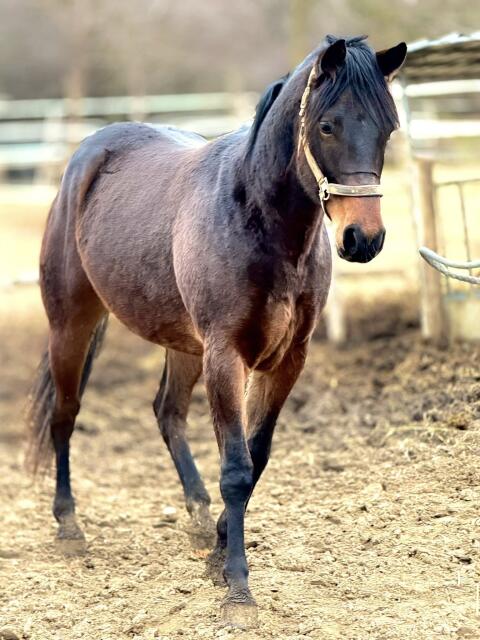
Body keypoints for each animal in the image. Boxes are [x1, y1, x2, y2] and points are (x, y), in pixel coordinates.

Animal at [27, 35, 406, 627]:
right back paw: (69, 526)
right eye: (327, 126)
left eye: (388, 127)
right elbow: (235, 468)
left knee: (167, 414)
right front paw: (238, 589)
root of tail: (89, 155)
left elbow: (256, 460)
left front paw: (217, 557)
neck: (260, 222)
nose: (362, 238)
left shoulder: (285, 361)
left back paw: (200, 518)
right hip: (72, 323)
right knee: (65, 415)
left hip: (183, 344)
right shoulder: (227, 357)